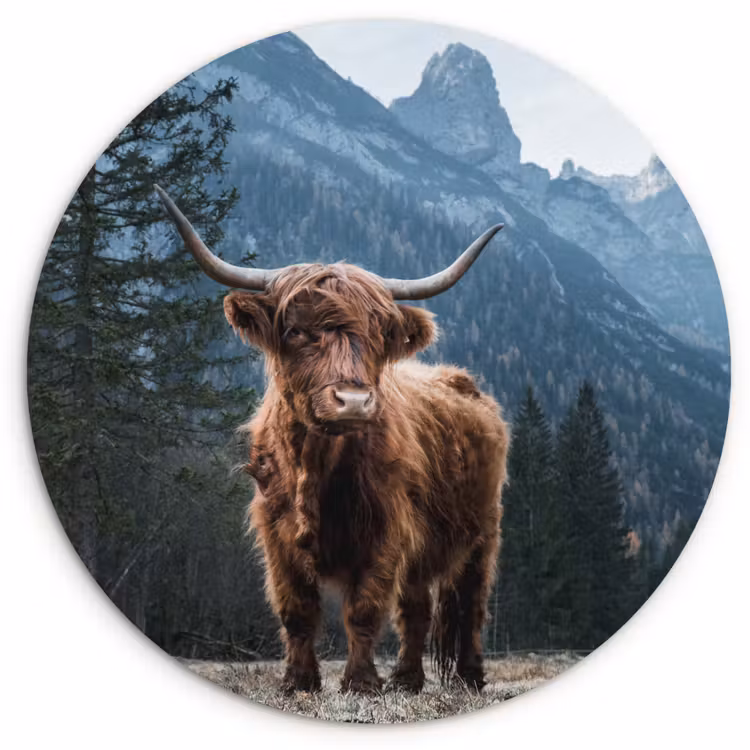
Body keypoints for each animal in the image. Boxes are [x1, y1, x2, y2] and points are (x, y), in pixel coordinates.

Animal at [155, 186, 509, 695]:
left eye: (379, 334)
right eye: (296, 330)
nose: (354, 401)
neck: (316, 466)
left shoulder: (385, 531)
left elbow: (364, 610)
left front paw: (360, 682)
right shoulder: (276, 534)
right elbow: (297, 610)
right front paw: (298, 681)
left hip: (483, 533)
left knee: (471, 606)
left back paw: (470, 677)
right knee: (417, 610)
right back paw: (407, 679)